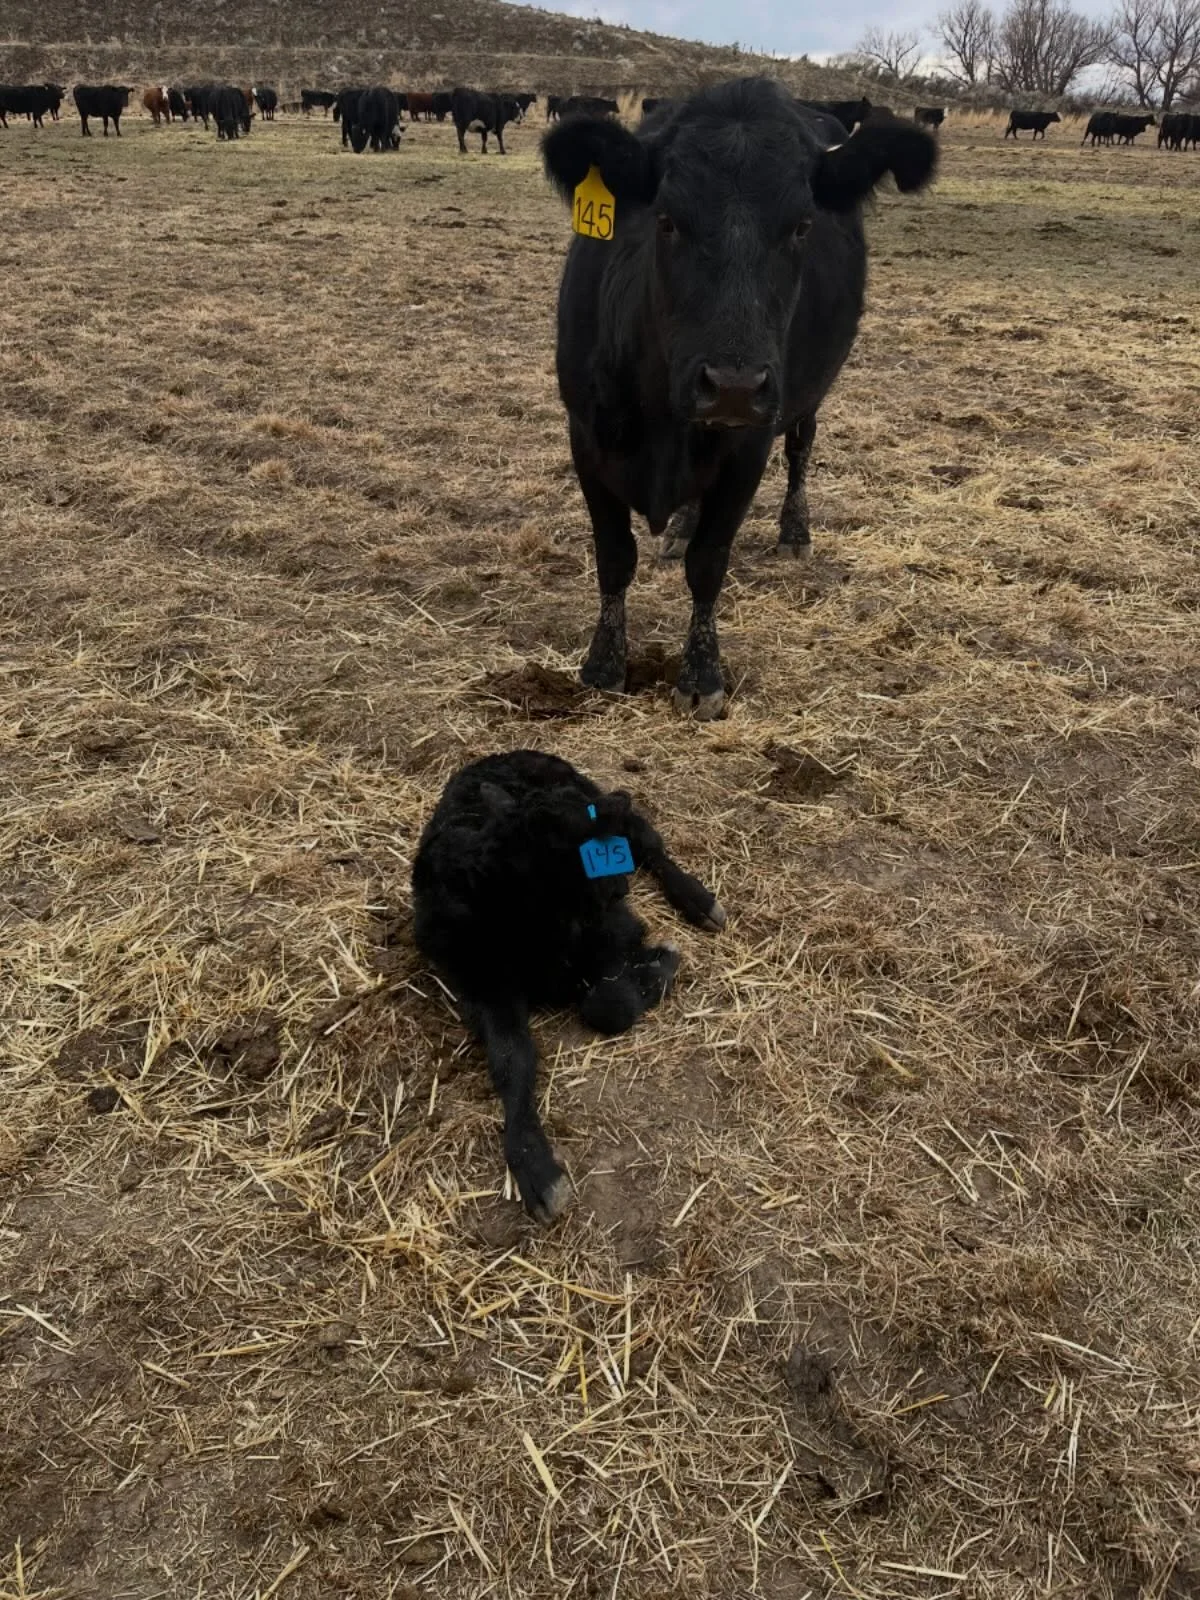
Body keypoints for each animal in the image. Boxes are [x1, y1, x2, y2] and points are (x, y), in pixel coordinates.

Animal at [412, 750, 725, 1221]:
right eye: (583, 821)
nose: (620, 796)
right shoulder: (482, 986)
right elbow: (512, 1060)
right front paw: (534, 1167)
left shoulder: (613, 930)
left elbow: (609, 1003)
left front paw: (661, 963)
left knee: (651, 845)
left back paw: (699, 901)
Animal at [541, 80, 937, 719]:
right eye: (667, 220)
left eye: (802, 225)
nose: (731, 386)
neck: (662, 422)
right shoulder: (585, 434)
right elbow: (615, 557)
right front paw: (603, 665)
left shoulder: (749, 444)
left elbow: (709, 564)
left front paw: (701, 675)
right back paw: (679, 526)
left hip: (803, 399)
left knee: (801, 452)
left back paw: (793, 533)